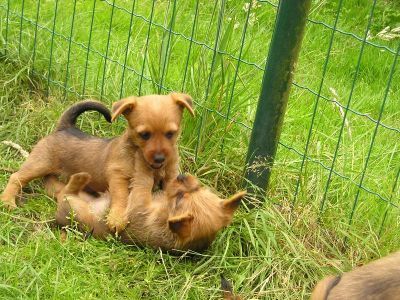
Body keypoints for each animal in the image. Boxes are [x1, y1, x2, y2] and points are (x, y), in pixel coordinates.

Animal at [0, 92, 194, 231]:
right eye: (144, 134)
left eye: (171, 133)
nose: (160, 158)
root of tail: (65, 127)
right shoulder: (118, 177)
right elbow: (121, 197)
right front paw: (117, 218)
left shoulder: (170, 177)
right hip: (40, 163)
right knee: (17, 177)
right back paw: (8, 201)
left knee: (49, 182)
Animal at [43, 154, 244, 252]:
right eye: (200, 188)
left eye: (179, 198)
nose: (181, 176)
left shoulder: (139, 206)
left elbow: (143, 183)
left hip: (73, 209)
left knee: (66, 193)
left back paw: (79, 178)